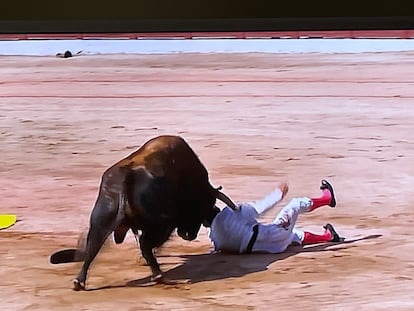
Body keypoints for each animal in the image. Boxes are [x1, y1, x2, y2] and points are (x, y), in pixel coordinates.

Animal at [72, 135, 238, 292]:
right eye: (204, 204)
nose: (190, 235)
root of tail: (126, 175)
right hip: (161, 225)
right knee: (145, 244)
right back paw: (158, 276)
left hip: (100, 222)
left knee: (92, 246)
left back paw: (79, 282)